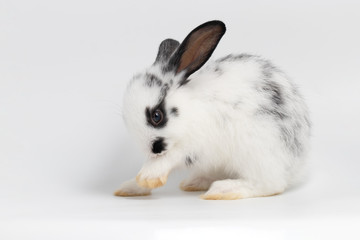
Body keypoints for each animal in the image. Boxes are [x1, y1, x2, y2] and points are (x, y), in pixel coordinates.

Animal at [114, 20, 310, 200]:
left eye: (156, 116)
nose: (153, 149)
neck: (190, 110)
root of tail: (296, 165)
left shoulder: (195, 145)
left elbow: (170, 158)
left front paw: (148, 176)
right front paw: (131, 187)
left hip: (256, 153)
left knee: (269, 184)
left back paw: (223, 190)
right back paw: (194, 183)